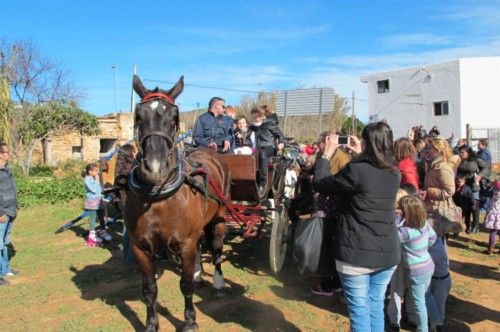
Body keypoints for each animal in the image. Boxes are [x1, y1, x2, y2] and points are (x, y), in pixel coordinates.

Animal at [121, 76, 230, 332]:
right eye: (138, 115)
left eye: (174, 117)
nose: (154, 168)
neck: (158, 199)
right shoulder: (140, 248)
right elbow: (149, 289)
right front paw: (151, 324)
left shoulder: (185, 243)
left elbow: (186, 285)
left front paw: (189, 320)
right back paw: (200, 273)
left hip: (219, 217)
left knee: (217, 249)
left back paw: (218, 282)